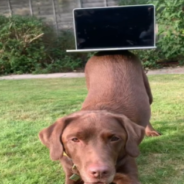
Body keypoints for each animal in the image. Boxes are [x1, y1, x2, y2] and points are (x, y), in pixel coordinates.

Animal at [39, 50, 159, 184]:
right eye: (75, 139)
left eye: (115, 138)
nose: (99, 172)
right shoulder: (70, 173)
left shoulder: (128, 172)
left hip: (147, 89)